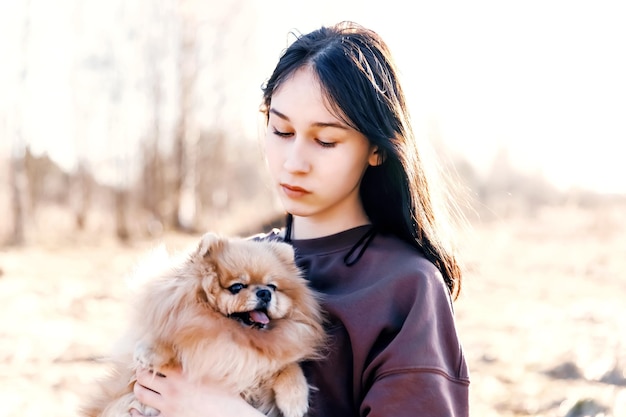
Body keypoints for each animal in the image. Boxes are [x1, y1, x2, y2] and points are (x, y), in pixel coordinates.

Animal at [80, 232, 326, 416]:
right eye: (237, 287)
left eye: (272, 286)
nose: (265, 293)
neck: (235, 339)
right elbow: (174, 341)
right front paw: (152, 350)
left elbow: (289, 367)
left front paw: (295, 400)